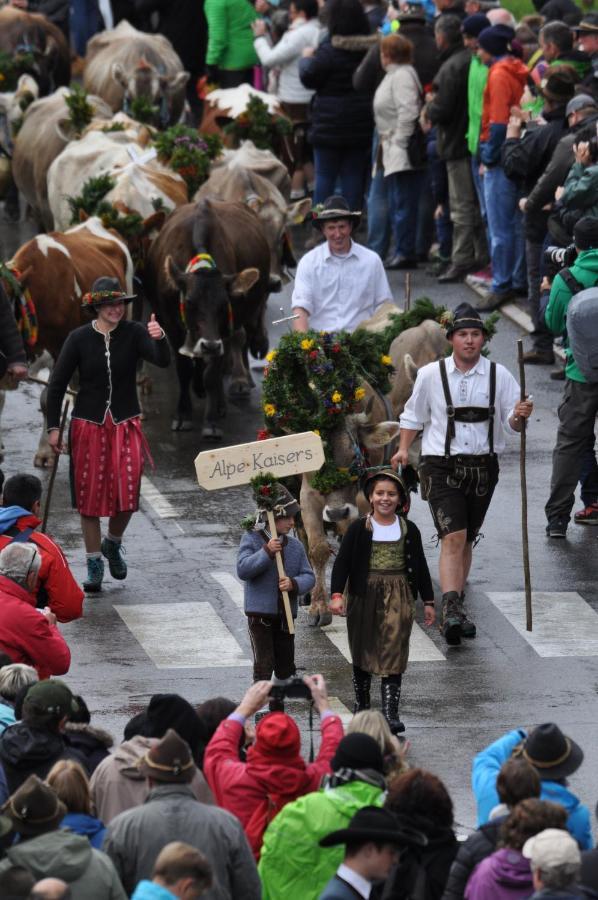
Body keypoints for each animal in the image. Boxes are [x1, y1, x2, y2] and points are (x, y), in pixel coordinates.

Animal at [300, 318, 450, 624]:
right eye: (319, 462)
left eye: (355, 460)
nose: (336, 512)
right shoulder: (307, 494)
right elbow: (317, 547)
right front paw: (319, 607)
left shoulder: (362, 502)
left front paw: (345, 601)